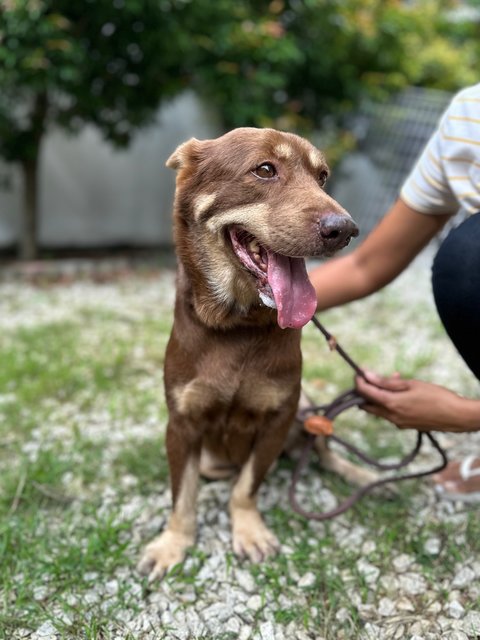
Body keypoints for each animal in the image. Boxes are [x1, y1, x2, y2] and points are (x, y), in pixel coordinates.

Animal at [139, 126, 360, 580]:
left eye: (323, 177)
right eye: (265, 170)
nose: (345, 229)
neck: (237, 324)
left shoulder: (279, 416)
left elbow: (247, 487)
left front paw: (249, 530)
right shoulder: (181, 423)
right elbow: (182, 495)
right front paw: (172, 543)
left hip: (307, 410)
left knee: (321, 449)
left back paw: (359, 474)